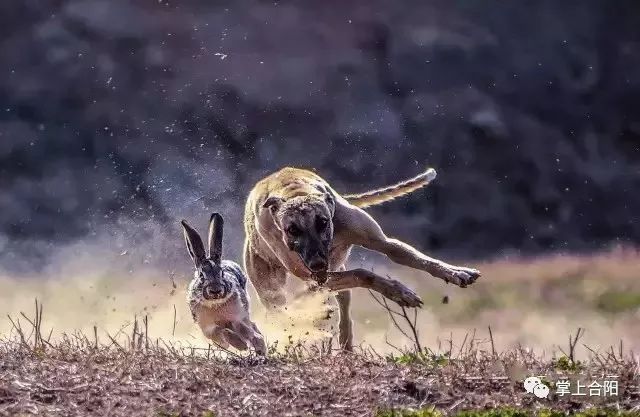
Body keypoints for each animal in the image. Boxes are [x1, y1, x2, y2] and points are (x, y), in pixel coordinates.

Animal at [241, 167, 480, 350]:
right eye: (292, 229)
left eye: (323, 222)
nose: (317, 264)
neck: (294, 191)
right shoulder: (313, 274)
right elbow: (362, 273)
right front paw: (400, 292)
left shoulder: (381, 243)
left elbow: (417, 258)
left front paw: (456, 272)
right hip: (274, 292)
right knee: (286, 312)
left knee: (343, 311)